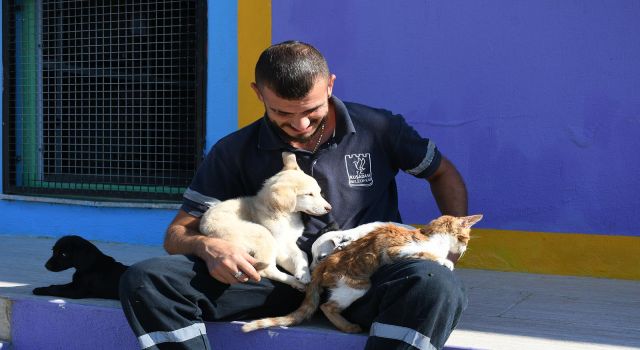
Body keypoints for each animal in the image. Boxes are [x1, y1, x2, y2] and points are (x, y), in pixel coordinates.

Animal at [199, 152, 330, 288]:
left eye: (319, 192)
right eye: (309, 194)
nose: (329, 208)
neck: (285, 215)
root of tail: (206, 231)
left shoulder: (289, 242)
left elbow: (301, 254)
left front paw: (304, 274)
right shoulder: (279, 245)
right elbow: (298, 255)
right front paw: (303, 276)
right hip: (263, 234)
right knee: (266, 271)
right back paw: (293, 281)